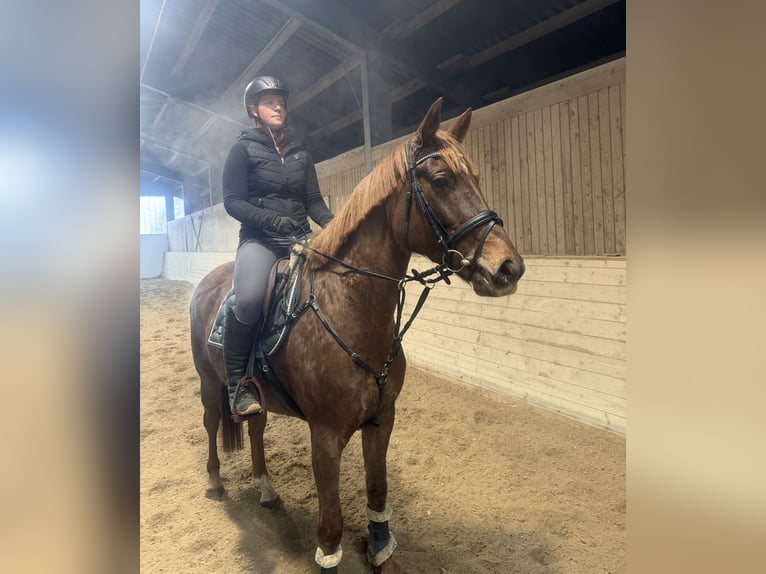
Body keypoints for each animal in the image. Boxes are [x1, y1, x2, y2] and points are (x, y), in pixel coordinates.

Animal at [189, 97, 525, 573]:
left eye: (477, 178)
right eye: (442, 181)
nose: (509, 268)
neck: (349, 310)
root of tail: (208, 283)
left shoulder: (382, 420)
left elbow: (378, 492)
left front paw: (381, 551)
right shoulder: (326, 436)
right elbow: (330, 527)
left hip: (257, 394)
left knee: (255, 427)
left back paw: (267, 490)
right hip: (208, 380)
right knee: (212, 422)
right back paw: (216, 483)